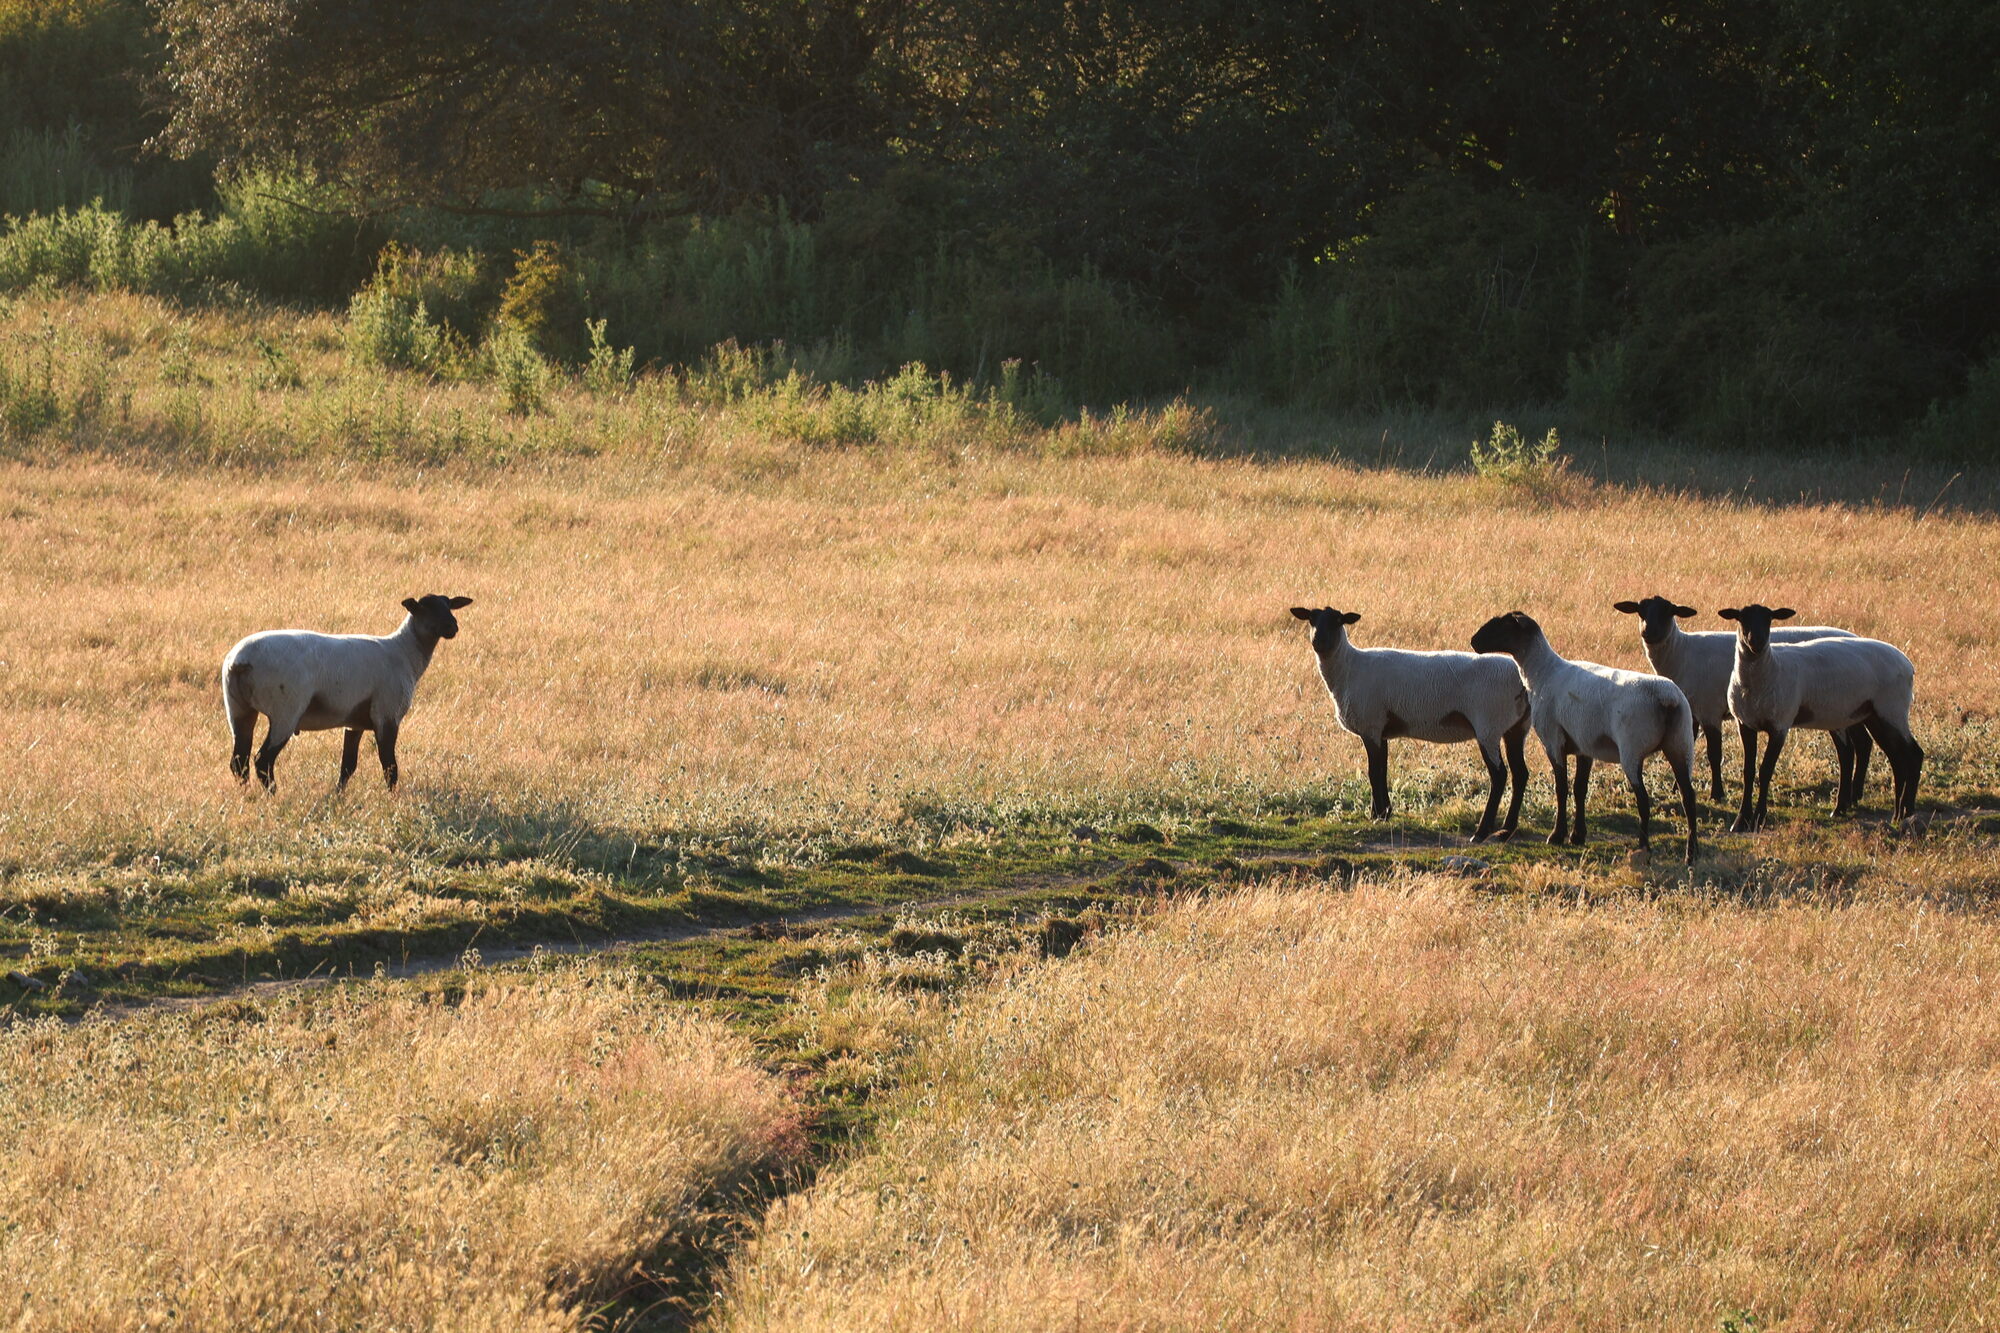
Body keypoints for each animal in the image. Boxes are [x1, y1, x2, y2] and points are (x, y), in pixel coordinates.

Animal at [222, 594, 473, 791]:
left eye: (449, 605)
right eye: (425, 609)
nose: (453, 627)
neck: (405, 652)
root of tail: (240, 661)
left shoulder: (355, 722)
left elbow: (348, 766)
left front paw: (338, 796)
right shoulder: (387, 714)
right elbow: (389, 766)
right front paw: (393, 799)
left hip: (238, 708)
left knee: (239, 761)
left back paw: (247, 795)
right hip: (286, 710)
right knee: (262, 761)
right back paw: (272, 795)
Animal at [1291, 606, 1531, 843]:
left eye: (1337, 621)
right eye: (1311, 619)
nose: (1318, 641)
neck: (1349, 669)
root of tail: (1523, 682)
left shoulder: (1371, 725)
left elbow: (1373, 771)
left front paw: (1378, 816)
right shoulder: (1381, 730)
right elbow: (1382, 770)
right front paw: (1383, 812)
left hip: (1488, 725)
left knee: (1499, 776)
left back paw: (1481, 832)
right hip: (1516, 728)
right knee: (1520, 774)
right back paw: (1506, 830)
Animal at [1470, 611, 1700, 863]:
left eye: (1502, 625)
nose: (1474, 642)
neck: (1542, 672)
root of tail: (1667, 700)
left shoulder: (1553, 739)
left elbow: (1561, 787)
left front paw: (1557, 835)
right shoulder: (1585, 745)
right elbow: (1580, 788)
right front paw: (1577, 836)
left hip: (1632, 748)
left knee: (1643, 800)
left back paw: (1643, 847)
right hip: (1681, 744)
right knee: (1689, 798)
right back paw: (1691, 854)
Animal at [1611, 595, 1872, 806]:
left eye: (1668, 611)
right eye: (1640, 611)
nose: (1648, 633)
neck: (1681, 654)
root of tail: (1856, 636)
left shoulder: (1709, 710)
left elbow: (1713, 754)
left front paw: (1717, 793)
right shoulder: (1691, 711)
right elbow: (1686, 748)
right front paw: (1678, 787)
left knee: (1861, 743)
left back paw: (1854, 794)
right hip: (1850, 708)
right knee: (1863, 742)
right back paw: (1855, 794)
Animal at [1717, 603, 1922, 831]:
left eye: (1769, 618)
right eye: (1742, 618)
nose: (1757, 642)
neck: (1768, 669)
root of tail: (1907, 664)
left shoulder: (1780, 725)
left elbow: (1765, 771)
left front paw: (1759, 818)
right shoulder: (1745, 723)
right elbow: (1748, 771)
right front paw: (1741, 820)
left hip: (1892, 709)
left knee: (1914, 754)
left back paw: (1907, 812)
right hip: (1873, 714)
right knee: (1896, 759)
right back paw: (1895, 813)